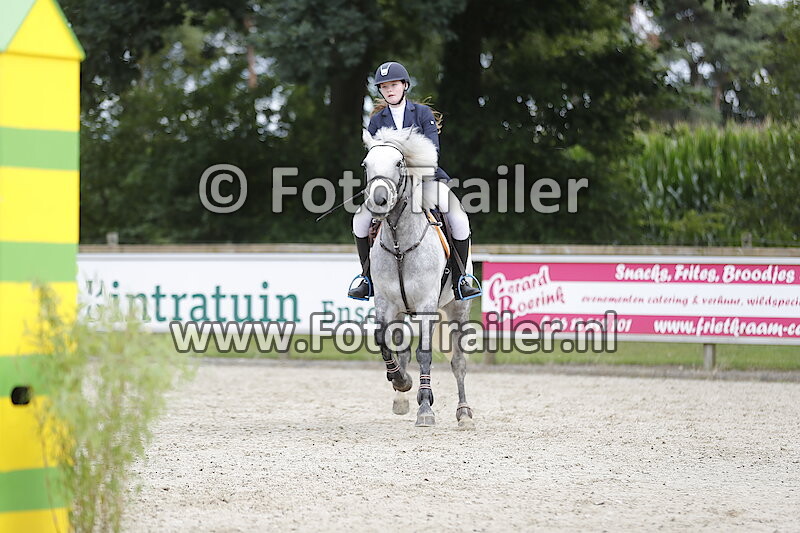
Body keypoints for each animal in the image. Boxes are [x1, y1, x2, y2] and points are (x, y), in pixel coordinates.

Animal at [360, 126, 475, 428]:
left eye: (399, 163)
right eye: (366, 165)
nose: (378, 202)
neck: (400, 241)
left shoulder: (426, 304)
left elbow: (425, 352)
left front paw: (425, 408)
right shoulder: (385, 302)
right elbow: (382, 340)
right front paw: (401, 381)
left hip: (458, 308)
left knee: (458, 362)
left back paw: (464, 413)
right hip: (403, 310)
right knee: (402, 349)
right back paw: (400, 398)